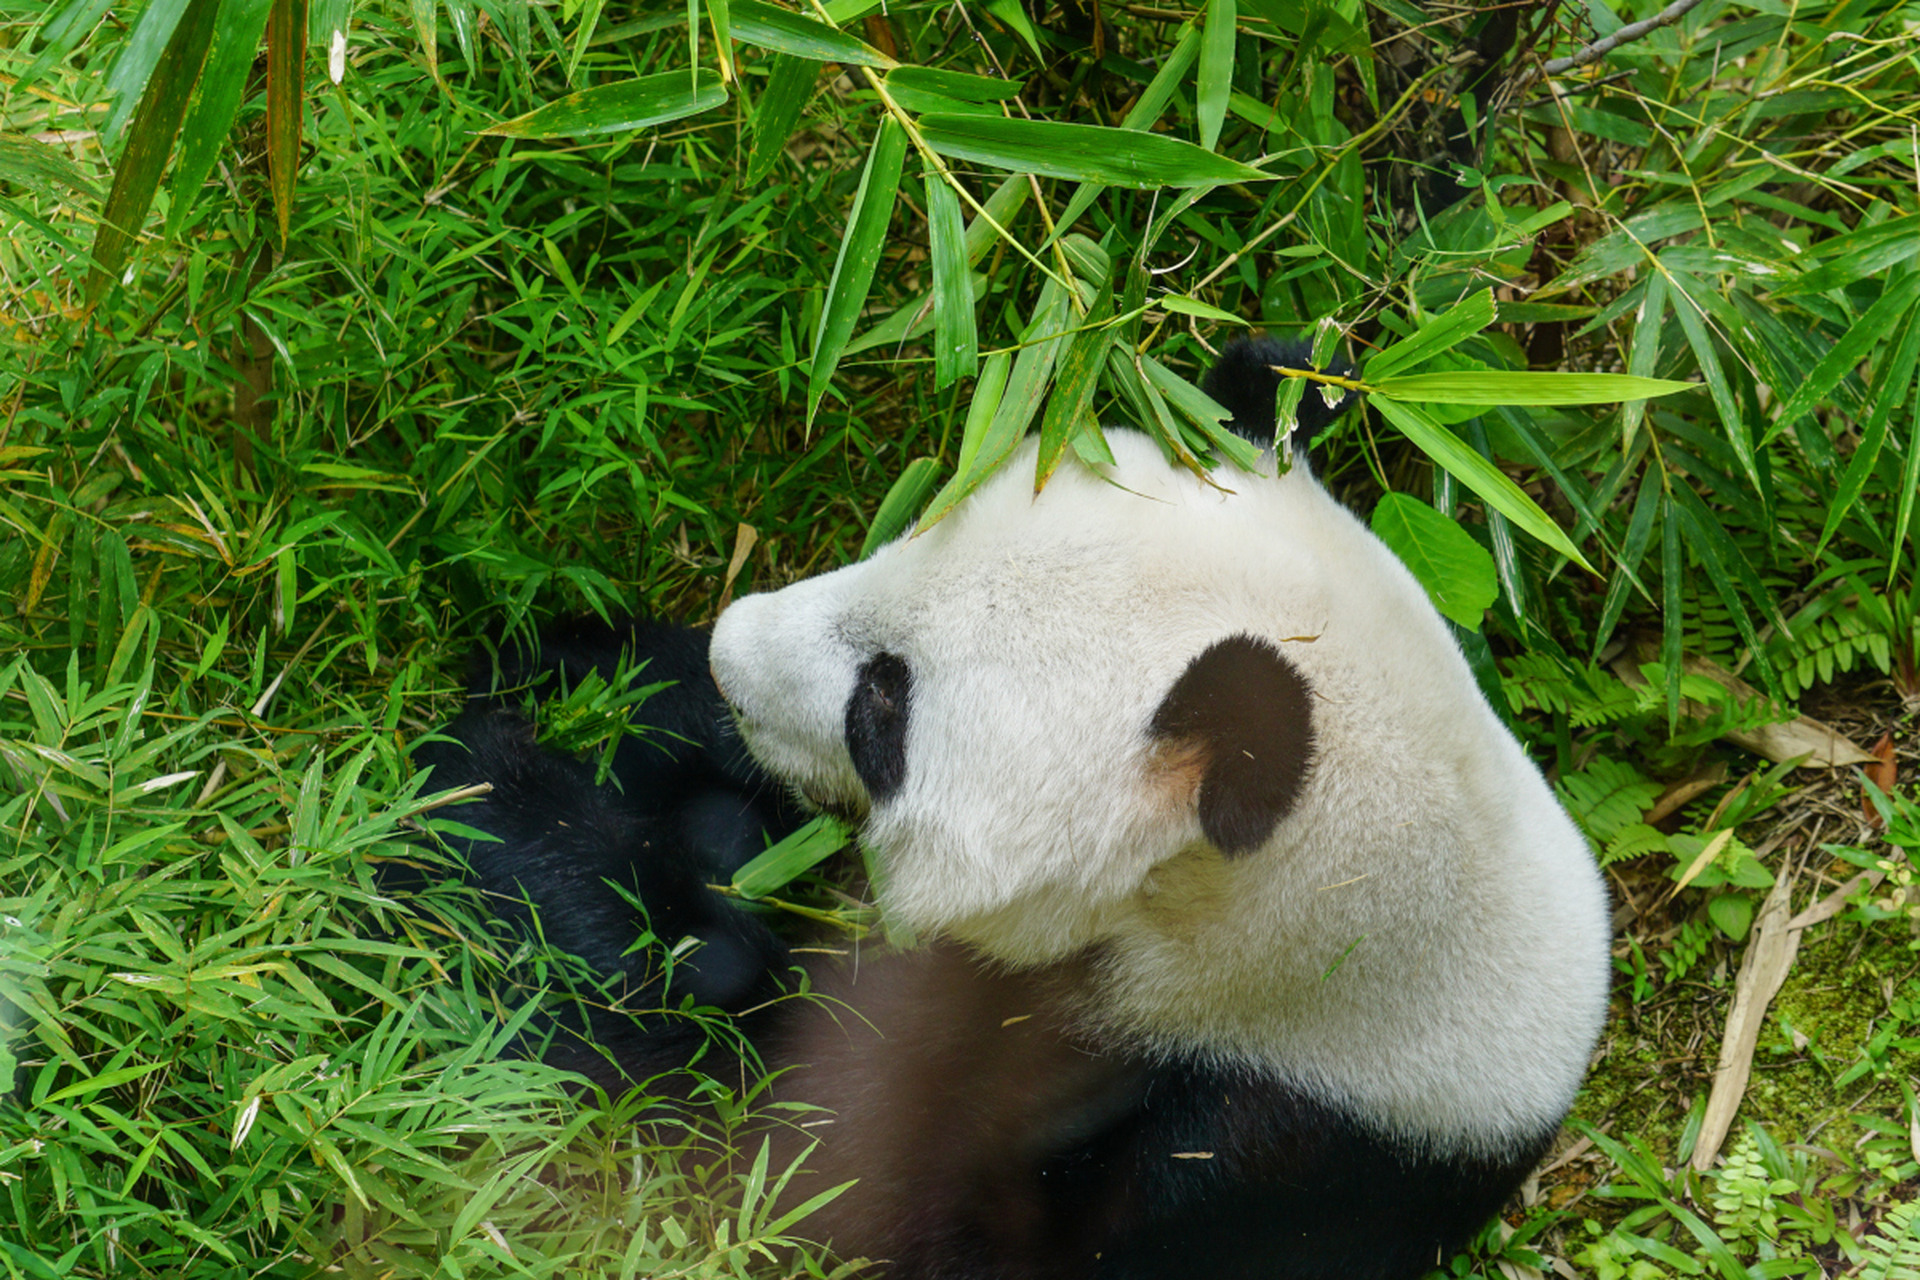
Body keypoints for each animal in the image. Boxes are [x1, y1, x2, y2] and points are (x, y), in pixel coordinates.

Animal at [416, 337, 1605, 1280]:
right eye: (912, 527)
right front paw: (589, 689)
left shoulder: (1256, 1157)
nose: (728, 652)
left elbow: (783, 1164)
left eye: (883, 705)